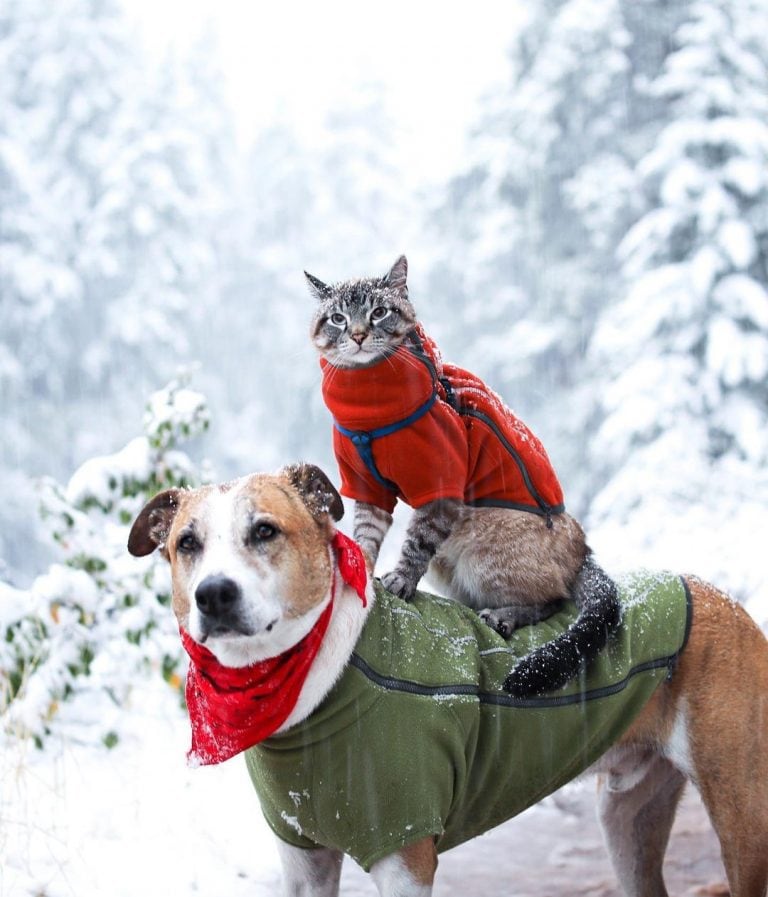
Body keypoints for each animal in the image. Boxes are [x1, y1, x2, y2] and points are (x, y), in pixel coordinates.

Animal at [127, 466, 768, 892]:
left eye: (264, 531)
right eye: (187, 543)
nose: (214, 594)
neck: (313, 678)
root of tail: (715, 595)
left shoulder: (403, 859)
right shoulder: (303, 861)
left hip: (744, 819)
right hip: (627, 817)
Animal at [304, 252, 620, 692]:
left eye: (379, 312)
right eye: (337, 318)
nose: (359, 334)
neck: (368, 405)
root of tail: (582, 545)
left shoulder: (441, 486)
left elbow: (415, 544)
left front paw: (400, 581)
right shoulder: (367, 486)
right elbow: (366, 537)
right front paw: (363, 570)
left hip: (485, 550)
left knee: (554, 601)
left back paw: (504, 616)